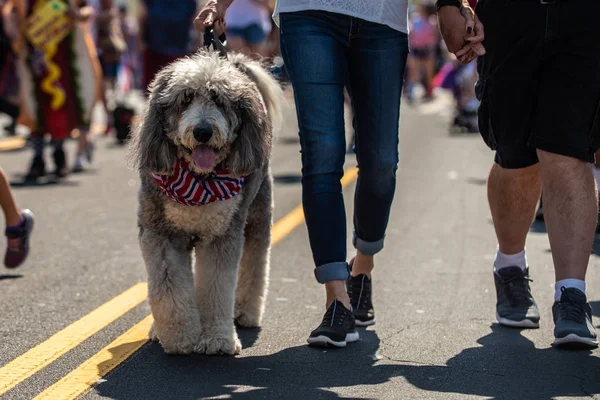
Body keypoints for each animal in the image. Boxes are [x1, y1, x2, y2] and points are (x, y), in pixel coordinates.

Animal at [128, 51, 282, 354]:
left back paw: (246, 313)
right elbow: (169, 290)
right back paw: (157, 330)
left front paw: (217, 339)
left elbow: (216, 287)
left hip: (258, 215)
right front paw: (180, 337)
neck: (198, 181)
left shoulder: (221, 236)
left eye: (219, 100)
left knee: (255, 263)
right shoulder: (161, 234)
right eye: (185, 98)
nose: (202, 131)